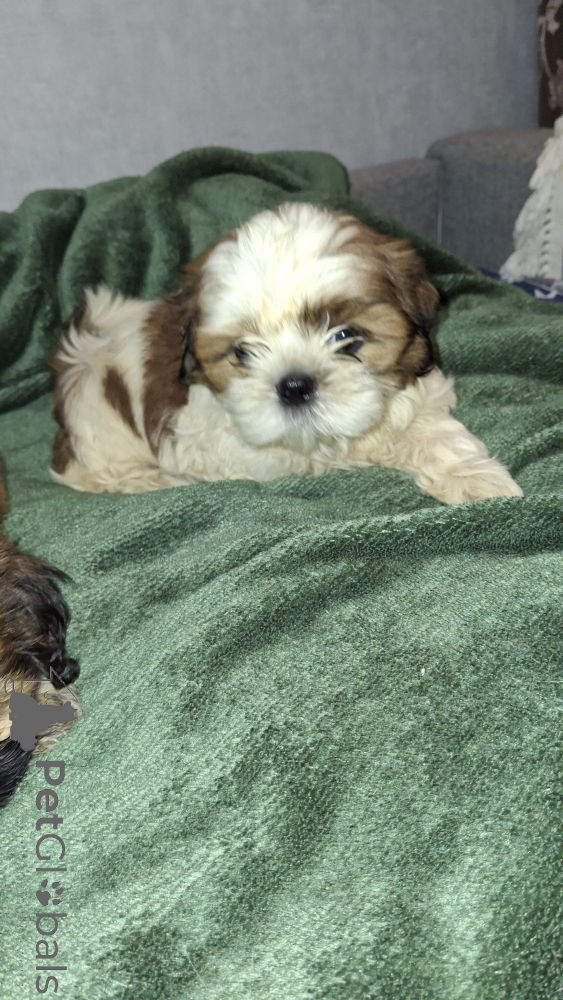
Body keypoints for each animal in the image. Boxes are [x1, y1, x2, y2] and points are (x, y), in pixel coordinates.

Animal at [50, 202, 522, 505]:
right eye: (242, 353)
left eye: (346, 336)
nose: (295, 386)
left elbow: (435, 434)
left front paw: (477, 481)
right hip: (98, 431)